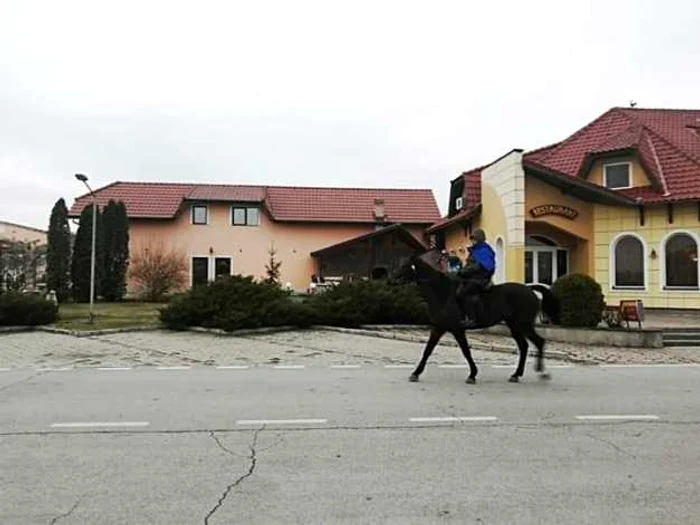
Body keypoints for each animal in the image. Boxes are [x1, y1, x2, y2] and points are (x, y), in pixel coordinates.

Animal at [394, 250, 564, 380]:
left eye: (405, 266)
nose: (392, 279)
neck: (443, 293)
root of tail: (530, 289)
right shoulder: (439, 327)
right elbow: (428, 350)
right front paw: (415, 373)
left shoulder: (457, 329)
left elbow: (466, 351)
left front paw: (472, 374)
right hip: (514, 325)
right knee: (524, 346)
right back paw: (517, 374)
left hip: (523, 324)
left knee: (538, 342)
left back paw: (541, 372)